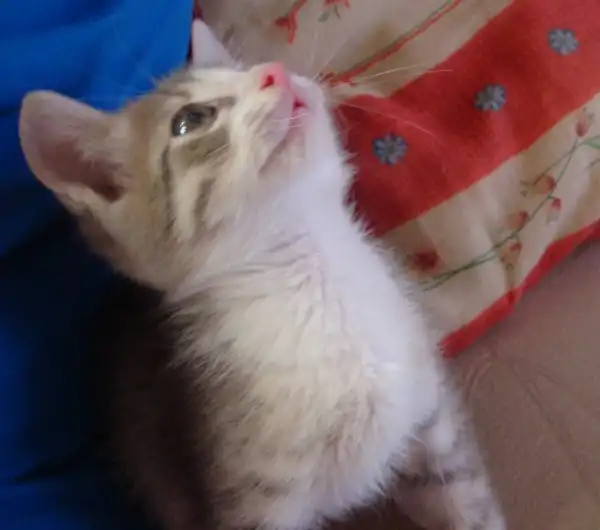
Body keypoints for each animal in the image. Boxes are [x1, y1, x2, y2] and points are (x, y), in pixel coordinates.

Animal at [18, 22, 506, 530]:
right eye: (190, 120)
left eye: (246, 68)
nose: (275, 71)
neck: (316, 273)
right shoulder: (252, 504)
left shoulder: (431, 418)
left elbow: (470, 506)